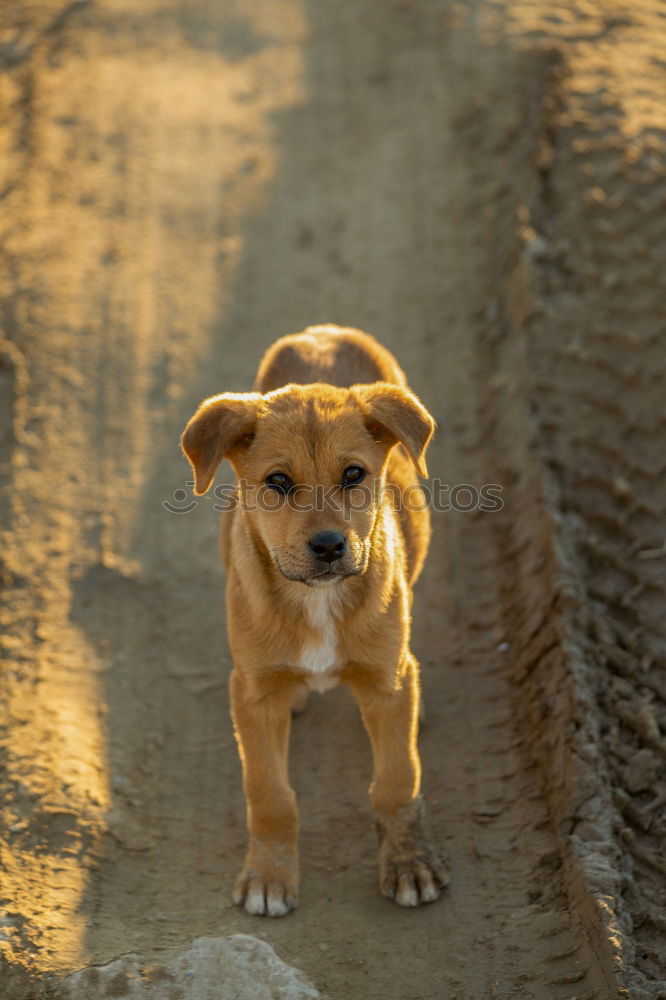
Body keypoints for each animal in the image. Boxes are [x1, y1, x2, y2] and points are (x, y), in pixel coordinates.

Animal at [182, 326, 446, 916]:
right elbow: (269, 794)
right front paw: (269, 876)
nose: (328, 546)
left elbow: (398, 779)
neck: (318, 601)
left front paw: (409, 862)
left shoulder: (385, 682)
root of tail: (321, 333)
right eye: (277, 481)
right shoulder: (252, 693)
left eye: (354, 474)